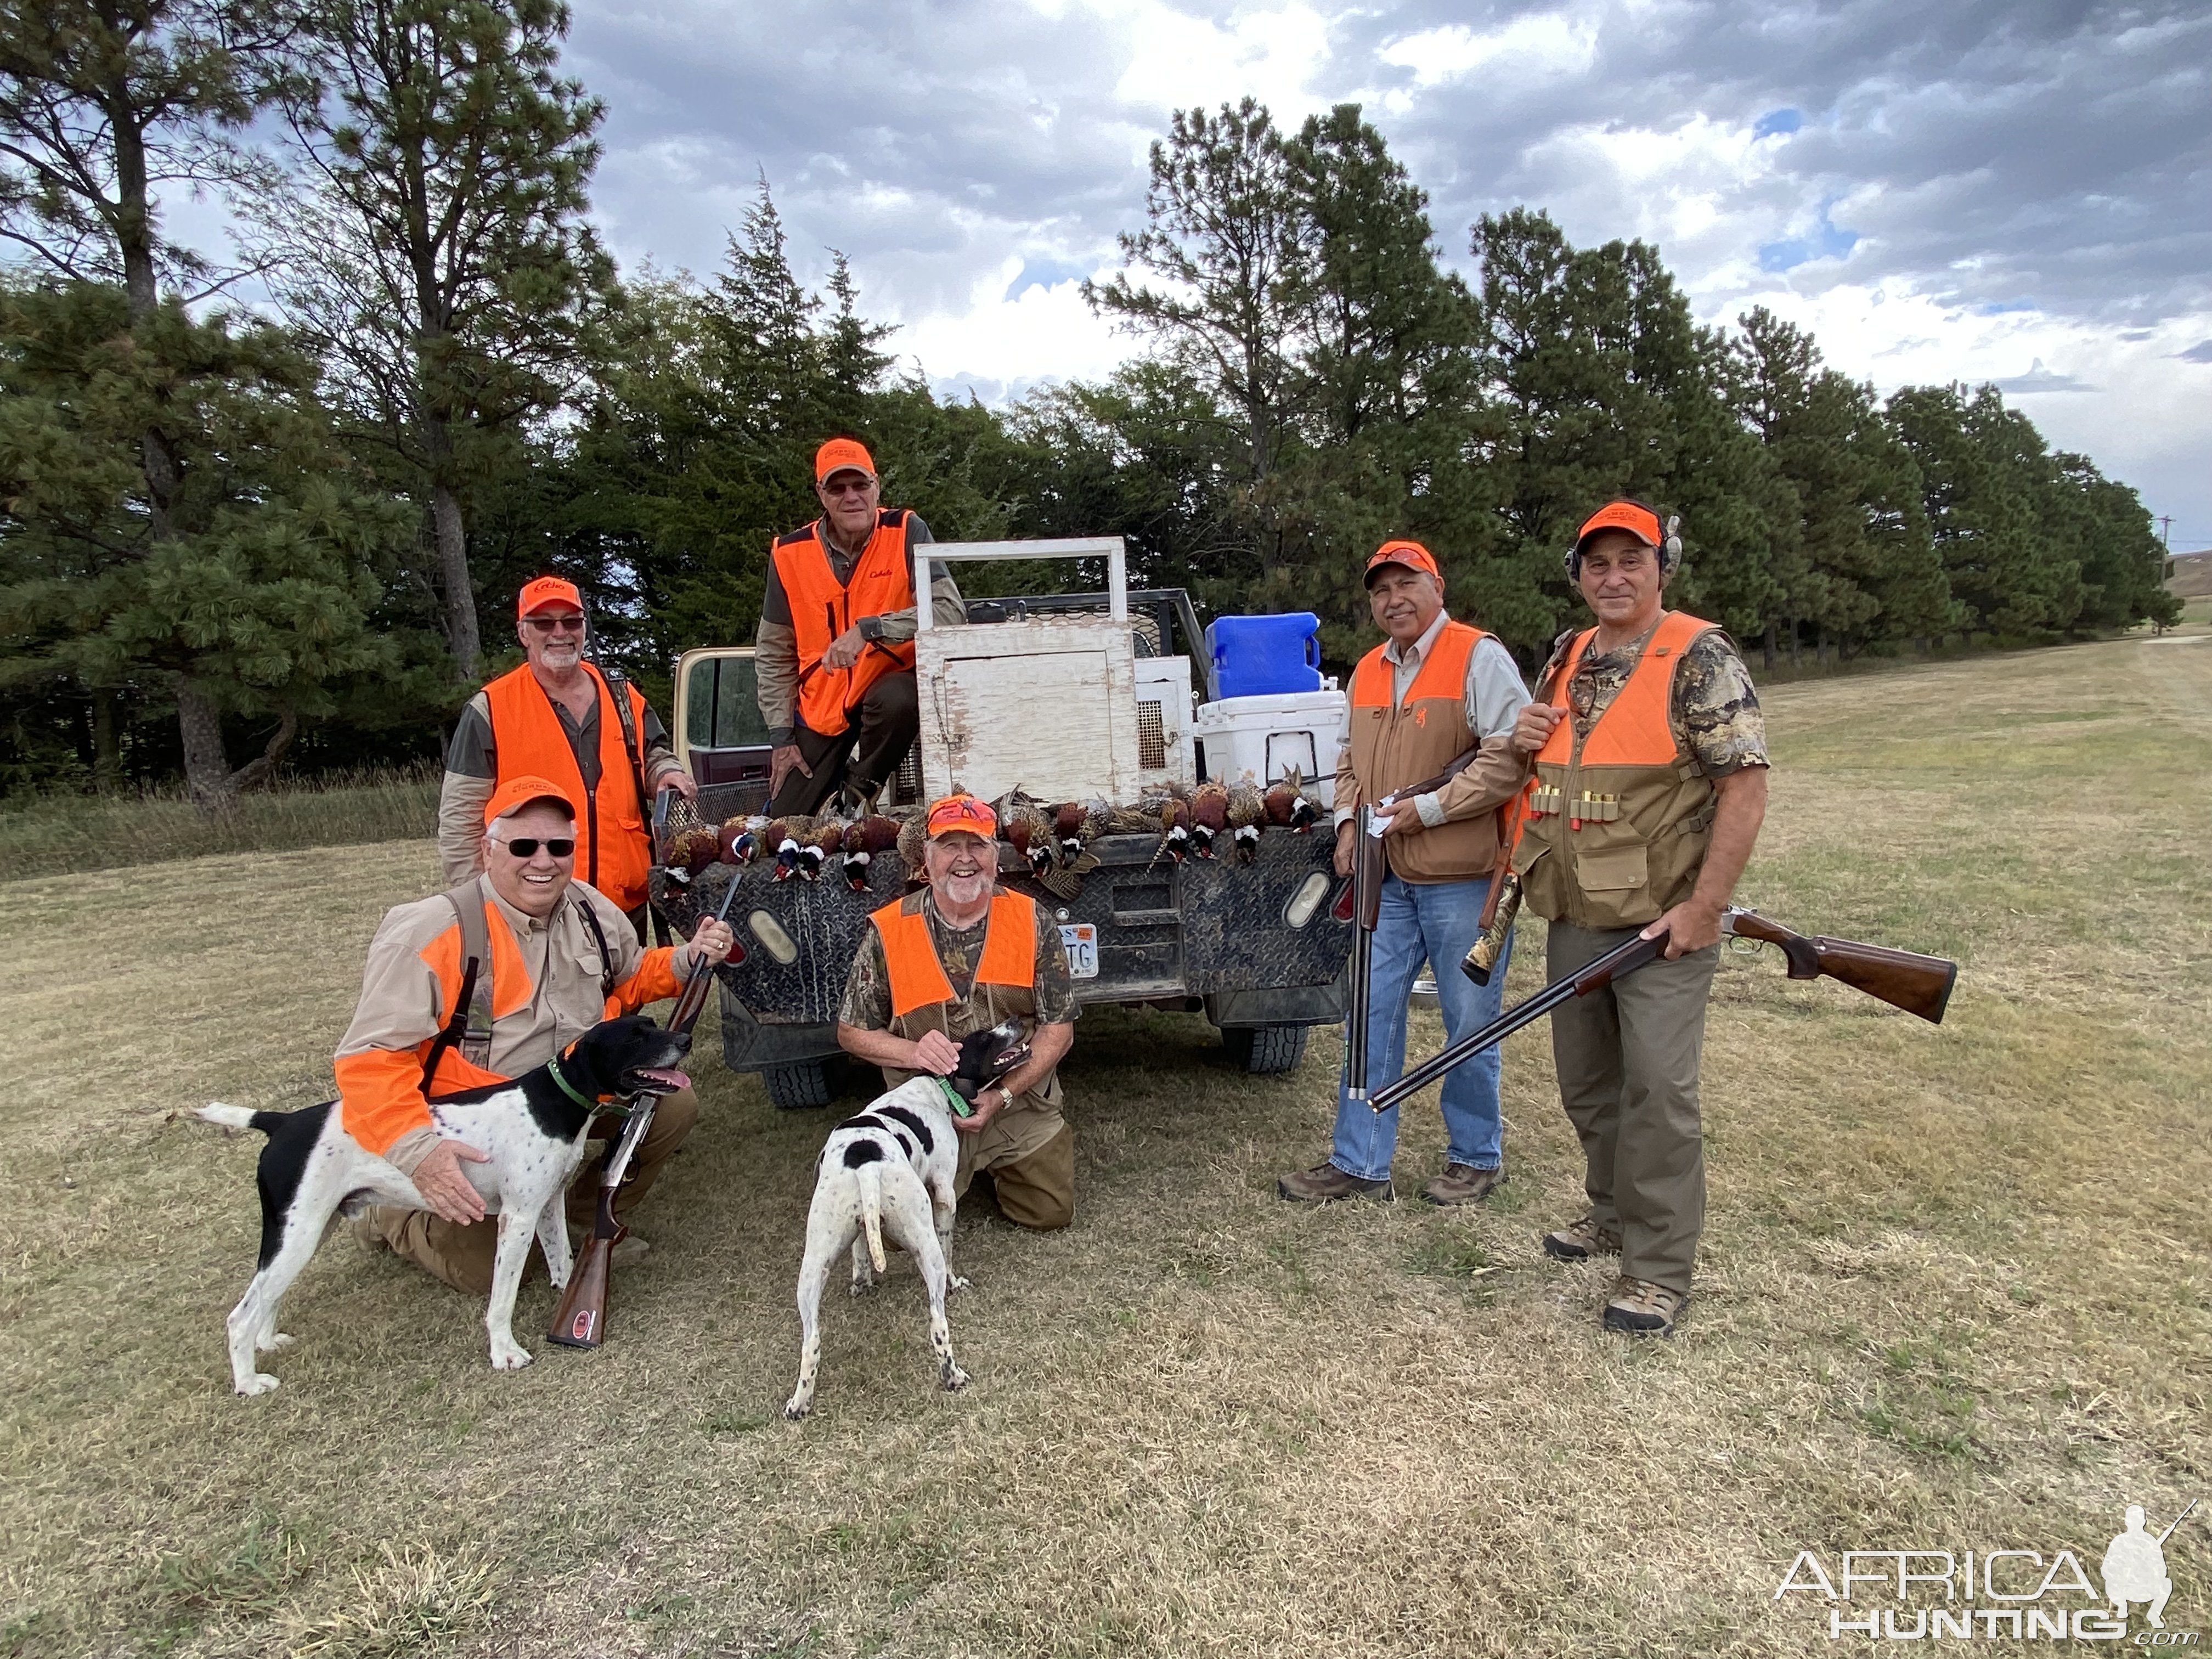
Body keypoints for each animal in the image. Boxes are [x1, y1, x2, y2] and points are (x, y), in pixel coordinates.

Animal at [196, 1022, 690, 1398]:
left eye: (652, 1023)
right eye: (635, 1036)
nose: (684, 1039)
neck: (552, 1103)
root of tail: (280, 1121)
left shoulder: (548, 1205)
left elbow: (564, 1262)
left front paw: (574, 1306)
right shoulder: (517, 1218)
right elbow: (502, 1299)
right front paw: (504, 1352)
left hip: (309, 1231)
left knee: (267, 1296)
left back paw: (268, 1341)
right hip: (298, 1235)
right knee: (240, 1315)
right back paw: (249, 1382)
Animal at [783, 1022, 1030, 1424]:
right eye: (984, 1037)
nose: (1017, 1022)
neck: (936, 1086)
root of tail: (865, 1165)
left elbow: (860, 1250)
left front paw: (862, 1282)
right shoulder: (944, 1192)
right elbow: (949, 1250)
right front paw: (955, 1283)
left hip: (813, 1265)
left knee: (812, 1343)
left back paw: (799, 1403)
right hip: (923, 1239)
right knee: (938, 1325)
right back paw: (953, 1376)